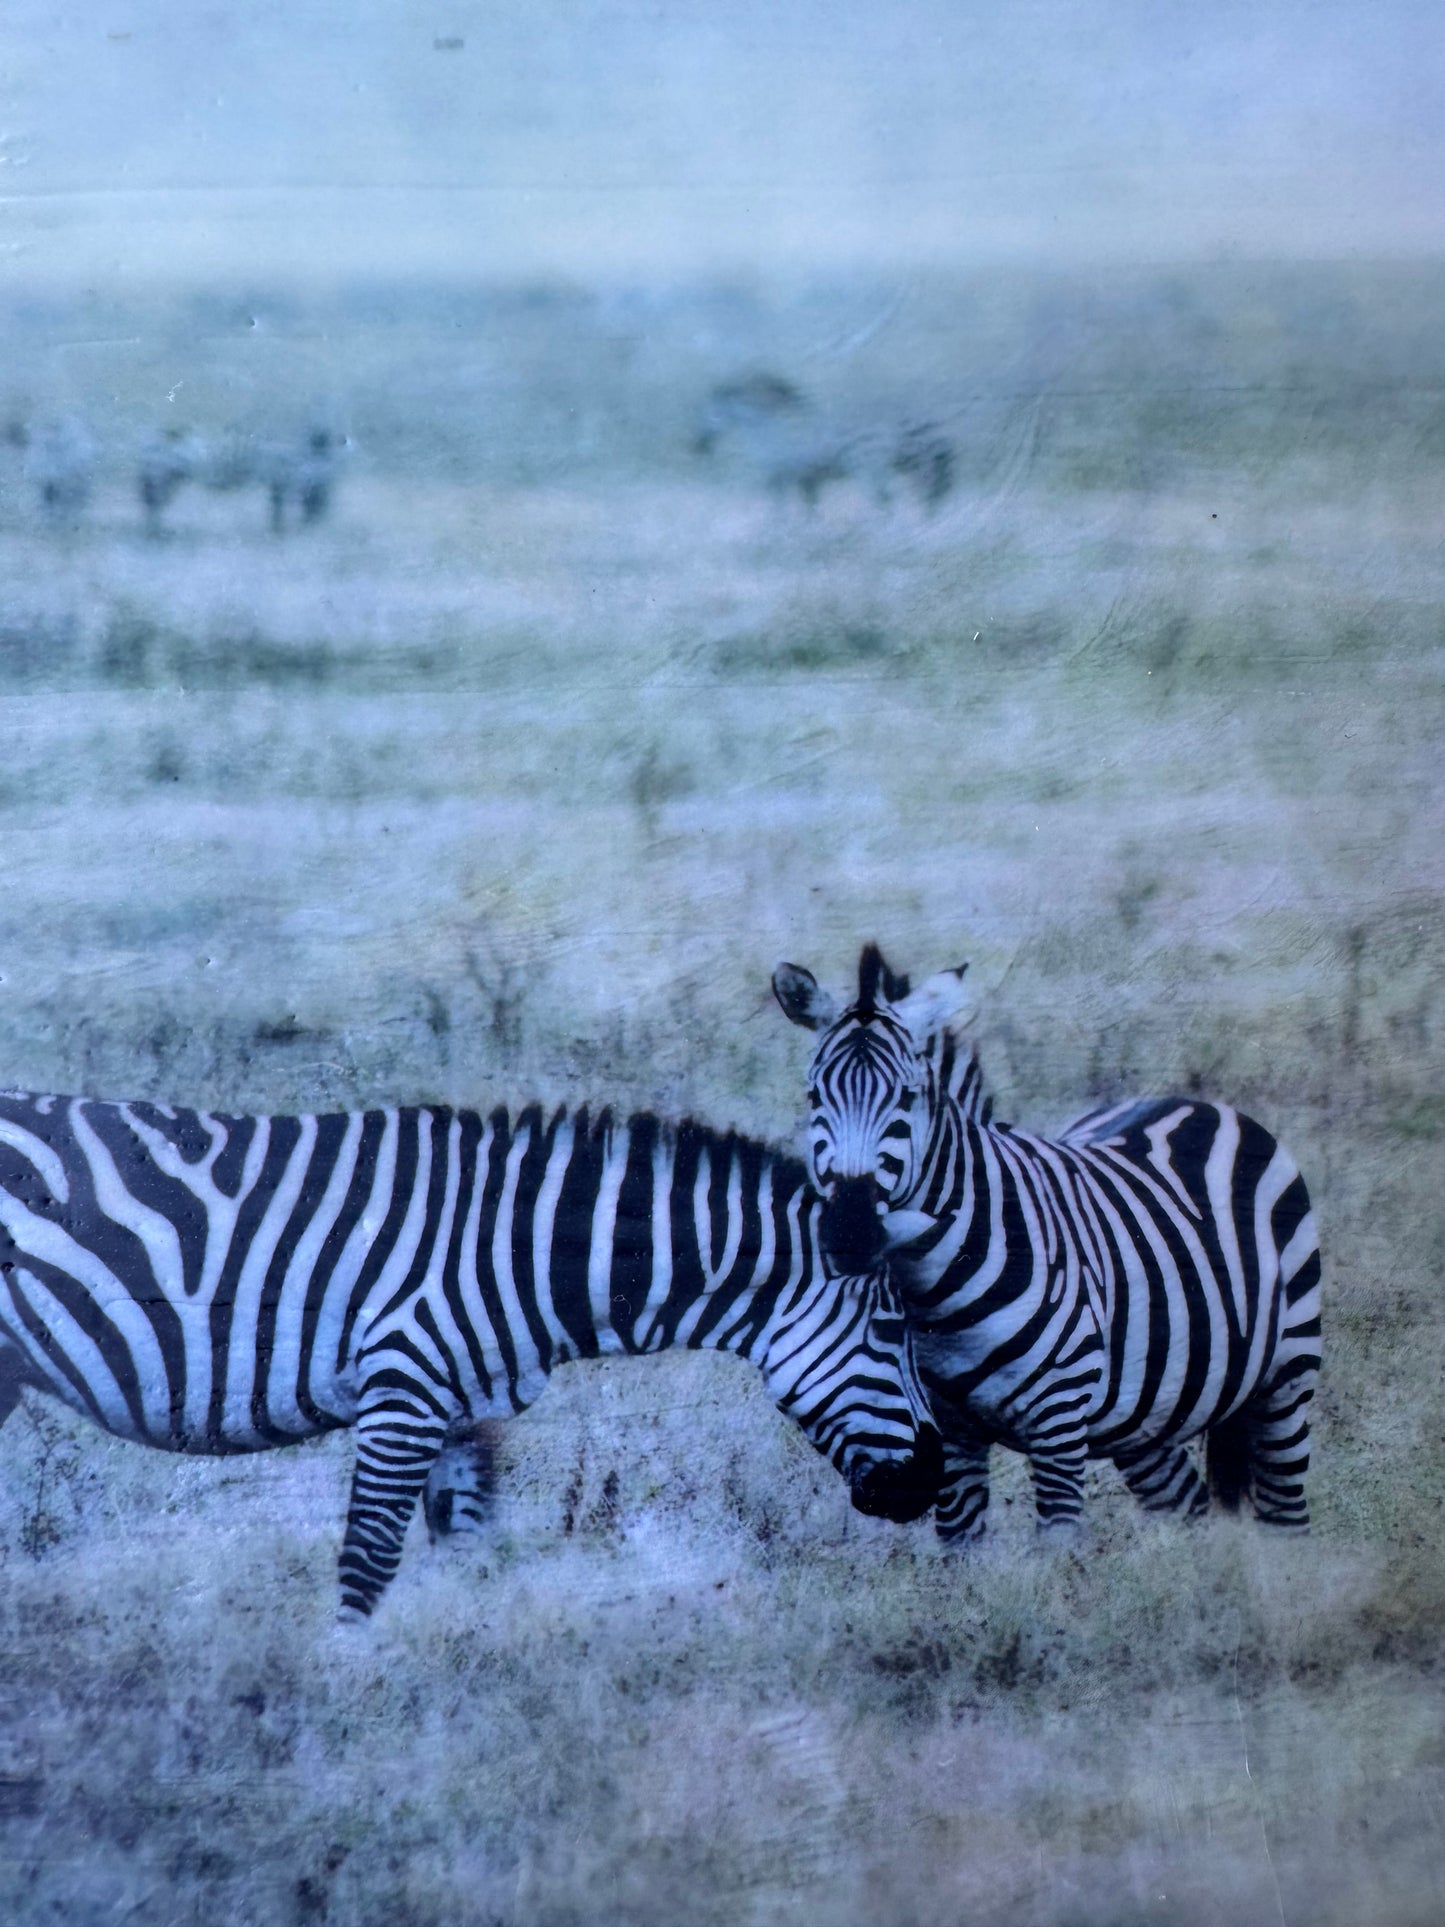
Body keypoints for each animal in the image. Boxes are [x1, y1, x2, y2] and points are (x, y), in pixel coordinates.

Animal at [0, 1091, 942, 1617]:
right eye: (892, 1332)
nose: (928, 1483)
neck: (527, 1250)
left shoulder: (464, 1412)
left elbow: (472, 1560)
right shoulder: (402, 1391)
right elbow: (369, 1559)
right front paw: (349, 1704)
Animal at [773, 945, 1321, 1544]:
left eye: (907, 1097)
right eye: (814, 1096)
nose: (848, 1233)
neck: (934, 1291)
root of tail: (1192, 1103)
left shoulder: (1059, 1423)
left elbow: (1060, 1554)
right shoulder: (950, 1430)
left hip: (1286, 1376)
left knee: (1286, 1516)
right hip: (1145, 1414)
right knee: (1187, 1504)